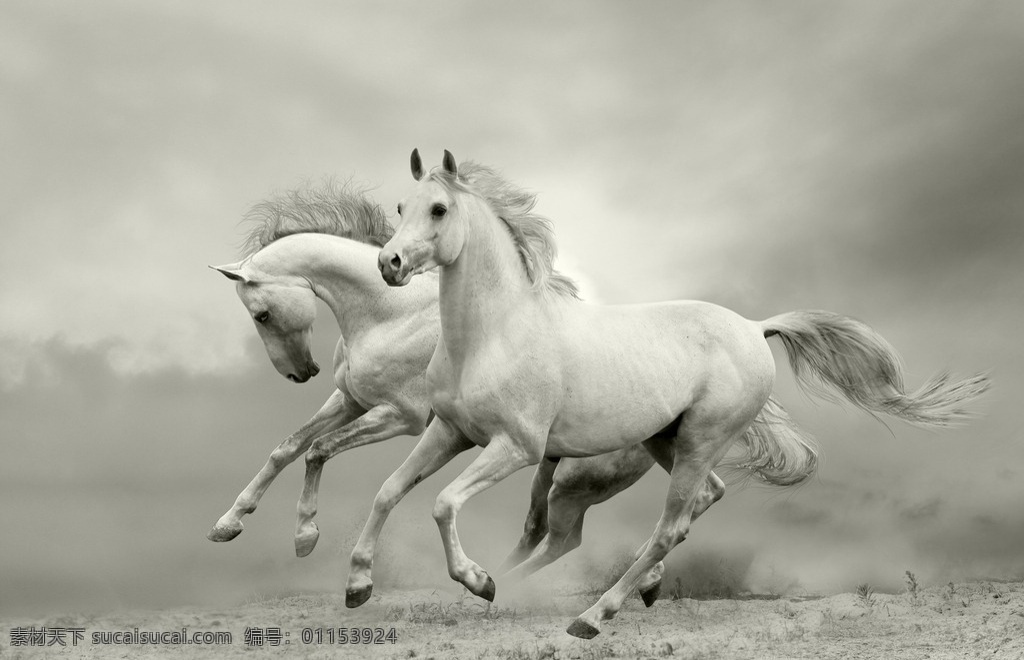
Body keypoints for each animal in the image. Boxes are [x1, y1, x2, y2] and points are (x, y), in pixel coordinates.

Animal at [372, 150, 987, 638]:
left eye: (438, 209)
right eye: (401, 207)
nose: (388, 263)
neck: (493, 333)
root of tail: (755, 327)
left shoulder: (515, 447)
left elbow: (443, 502)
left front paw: (477, 580)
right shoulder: (450, 432)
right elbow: (388, 492)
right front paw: (359, 583)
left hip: (695, 442)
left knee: (665, 527)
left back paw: (591, 615)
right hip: (667, 441)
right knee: (700, 501)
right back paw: (598, 588)